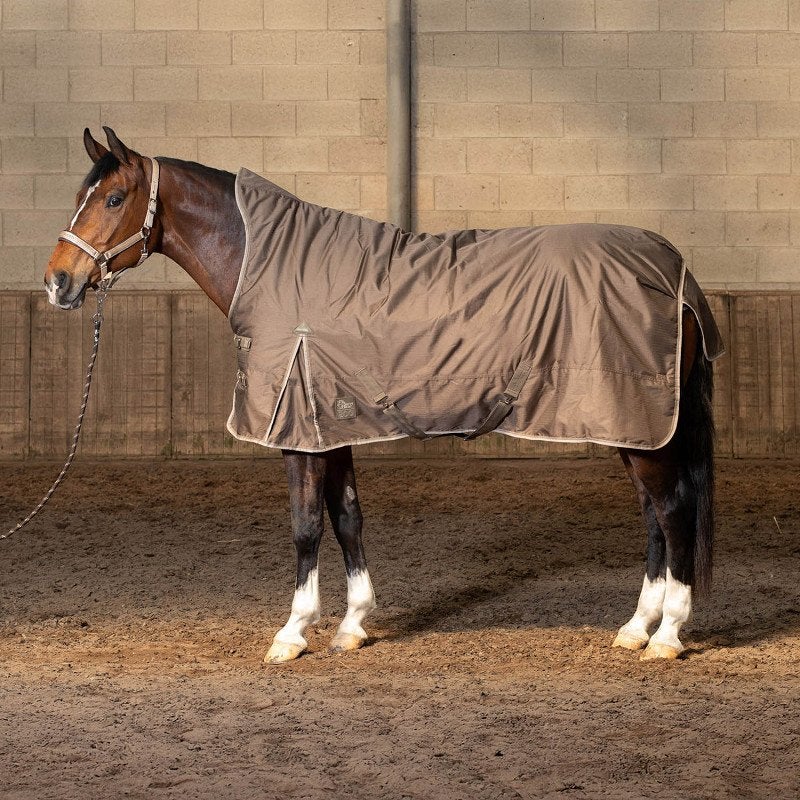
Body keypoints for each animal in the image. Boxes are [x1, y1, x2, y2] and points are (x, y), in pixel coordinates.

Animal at [44, 127, 720, 663]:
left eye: (113, 198)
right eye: (77, 197)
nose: (57, 281)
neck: (276, 270)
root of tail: (674, 269)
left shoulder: (300, 434)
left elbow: (306, 526)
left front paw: (292, 632)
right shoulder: (329, 426)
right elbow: (347, 518)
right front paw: (353, 625)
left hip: (639, 424)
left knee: (672, 510)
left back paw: (668, 635)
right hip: (630, 427)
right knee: (653, 516)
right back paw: (636, 627)